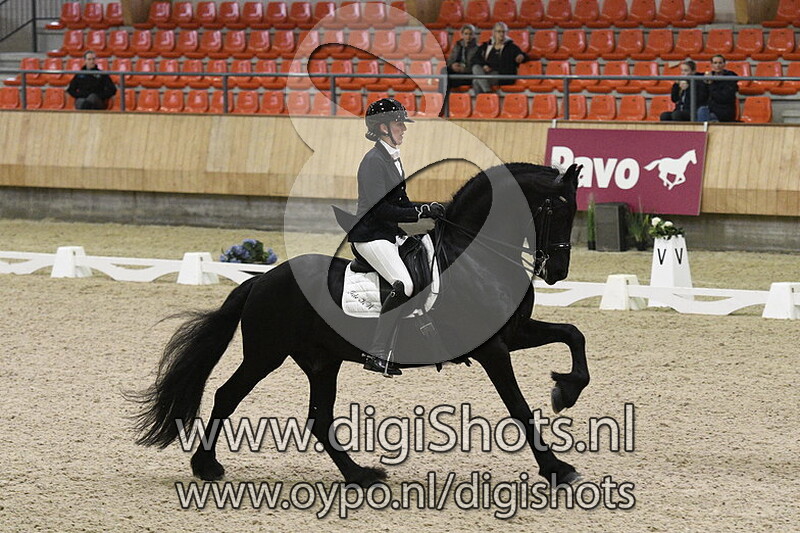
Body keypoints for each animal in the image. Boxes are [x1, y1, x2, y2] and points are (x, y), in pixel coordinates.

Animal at [130, 162, 590, 488]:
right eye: (559, 208)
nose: (558, 272)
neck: (474, 256)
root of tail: (261, 279)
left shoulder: (512, 334)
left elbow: (574, 334)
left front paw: (564, 392)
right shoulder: (493, 349)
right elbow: (519, 408)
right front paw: (557, 468)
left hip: (321, 361)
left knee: (319, 419)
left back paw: (360, 475)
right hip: (266, 353)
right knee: (227, 395)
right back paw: (206, 466)